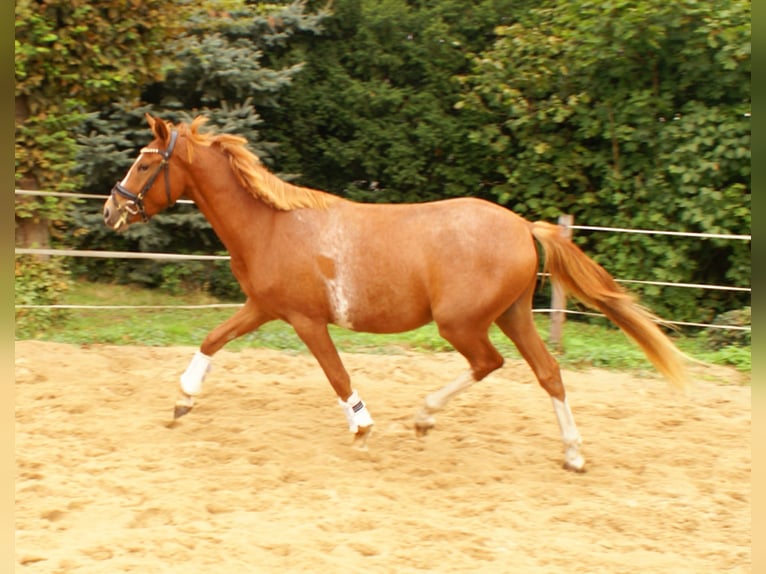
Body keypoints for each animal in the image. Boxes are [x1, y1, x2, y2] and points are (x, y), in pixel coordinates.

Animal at [103, 116, 688, 472]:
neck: (272, 226)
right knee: (548, 373)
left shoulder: (304, 320)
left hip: (463, 323)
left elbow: (337, 376)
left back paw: (425, 416)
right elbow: (213, 338)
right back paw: (572, 455)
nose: (112, 209)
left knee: (490, 363)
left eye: (146, 161)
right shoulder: (264, 308)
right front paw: (182, 401)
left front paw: (363, 428)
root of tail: (524, 227)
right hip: (513, 315)